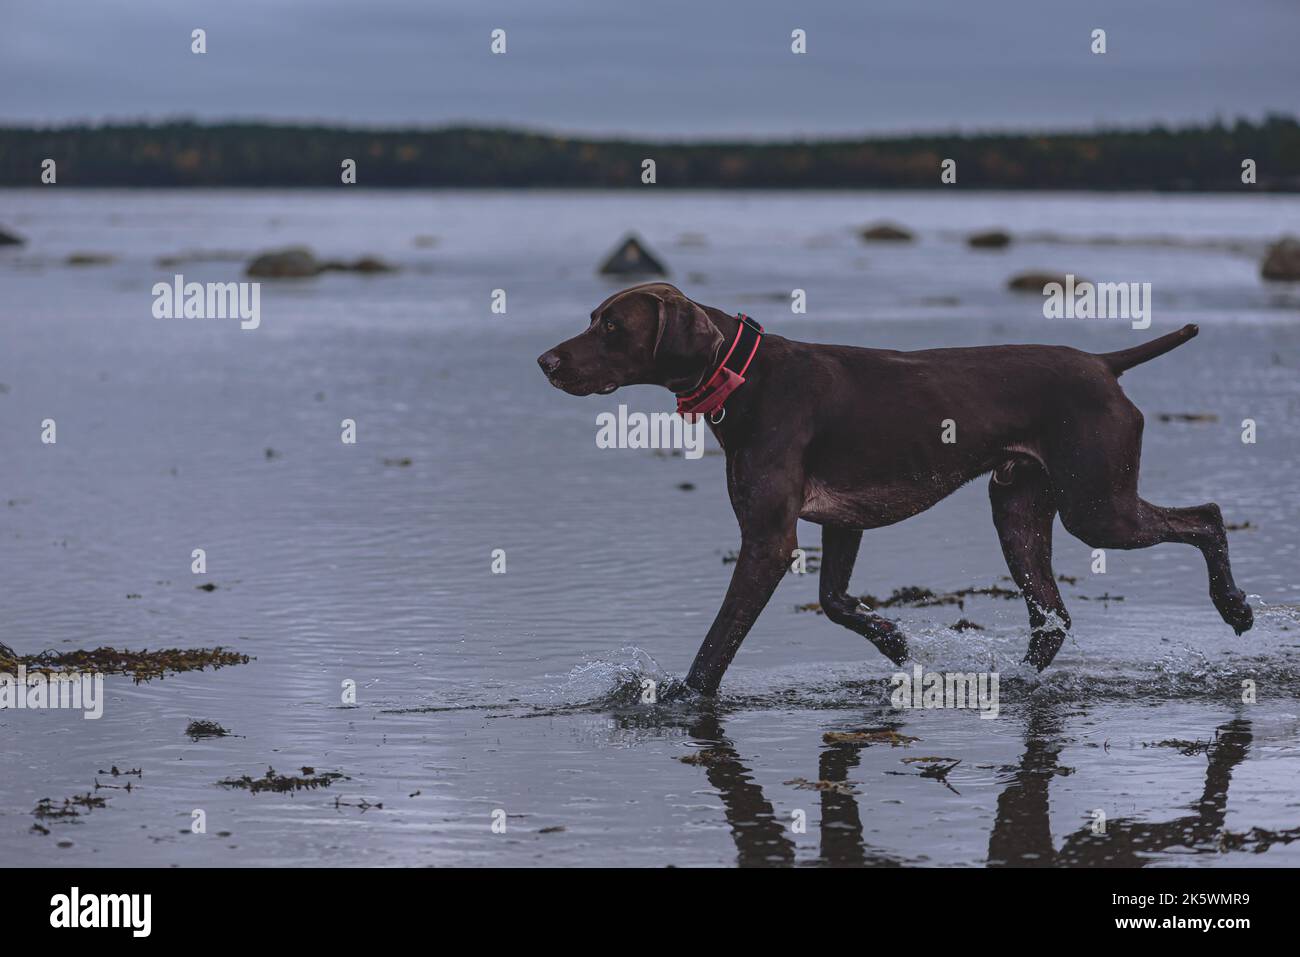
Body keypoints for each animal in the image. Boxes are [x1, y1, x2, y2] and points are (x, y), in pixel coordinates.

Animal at [535, 280, 1248, 691]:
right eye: (593, 317)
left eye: (612, 327)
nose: (545, 361)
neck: (745, 375)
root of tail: (1104, 364)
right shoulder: (840, 520)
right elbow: (834, 602)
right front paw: (895, 640)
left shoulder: (768, 539)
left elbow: (719, 641)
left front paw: (683, 698)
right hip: (1018, 507)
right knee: (1053, 618)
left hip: (1097, 507)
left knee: (1208, 515)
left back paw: (1235, 607)